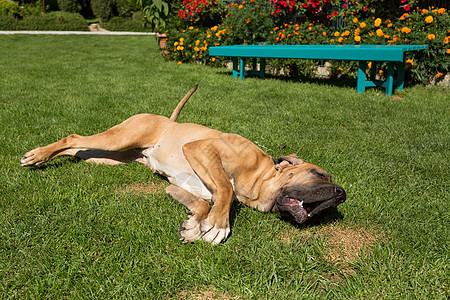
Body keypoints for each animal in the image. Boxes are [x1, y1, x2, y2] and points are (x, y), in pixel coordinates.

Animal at [19, 85, 346, 245]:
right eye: (320, 174)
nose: (342, 193)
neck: (257, 176)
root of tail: (168, 120)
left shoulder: (179, 187)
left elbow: (203, 202)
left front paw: (193, 225)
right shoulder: (201, 148)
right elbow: (225, 186)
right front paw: (217, 225)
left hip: (105, 156)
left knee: (76, 148)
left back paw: (45, 156)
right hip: (120, 138)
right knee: (73, 137)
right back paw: (36, 156)